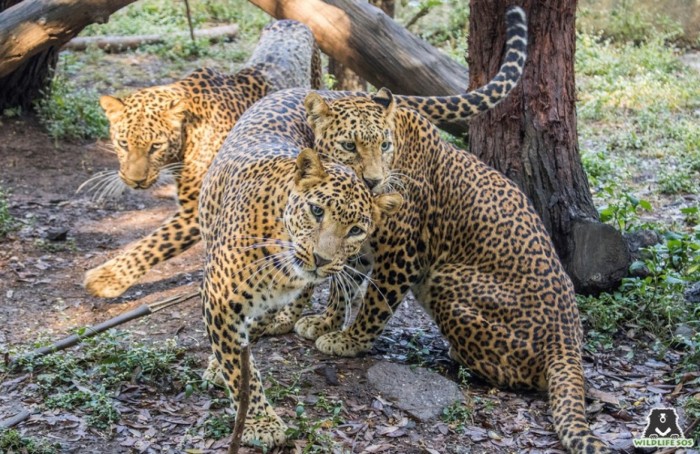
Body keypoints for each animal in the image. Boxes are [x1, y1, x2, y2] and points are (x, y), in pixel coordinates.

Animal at [83, 20, 322, 298]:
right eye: (123, 144)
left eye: (155, 146)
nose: (135, 181)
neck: (187, 136)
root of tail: (291, 20)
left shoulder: (196, 210)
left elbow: (155, 243)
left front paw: (106, 278)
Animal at [198, 140, 404, 446]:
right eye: (317, 211)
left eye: (356, 230)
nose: (321, 259)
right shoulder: (219, 298)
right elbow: (237, 366)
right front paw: (260, 420)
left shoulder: (268, 304)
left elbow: (244, 346)